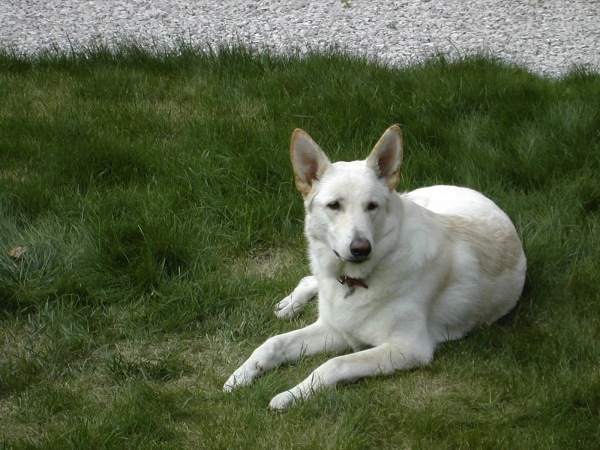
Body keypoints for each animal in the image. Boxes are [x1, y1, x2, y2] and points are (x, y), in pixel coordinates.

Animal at [224, 125, 527, 410]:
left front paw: (290, 395)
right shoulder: (337, 329)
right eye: (334, 205)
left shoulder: (407, 348)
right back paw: (291, 304)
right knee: (312, 277)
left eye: (372, 206)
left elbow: (333, 364)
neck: (355, 281)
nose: (361, 248)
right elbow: (273, 342)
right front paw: (242, 374)